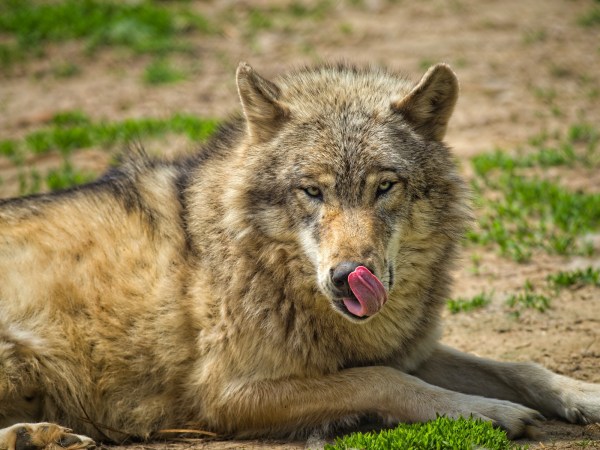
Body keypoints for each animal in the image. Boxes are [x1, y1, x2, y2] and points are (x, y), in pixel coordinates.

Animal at [1, 61, 600, 448]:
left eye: (385, 187)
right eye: (312, 191)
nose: (347, 276)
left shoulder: (409, 348)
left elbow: (519, 366)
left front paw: (583, 395)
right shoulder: (228, 395)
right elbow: (383, 381)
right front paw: (488, 414)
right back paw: (35, 436)